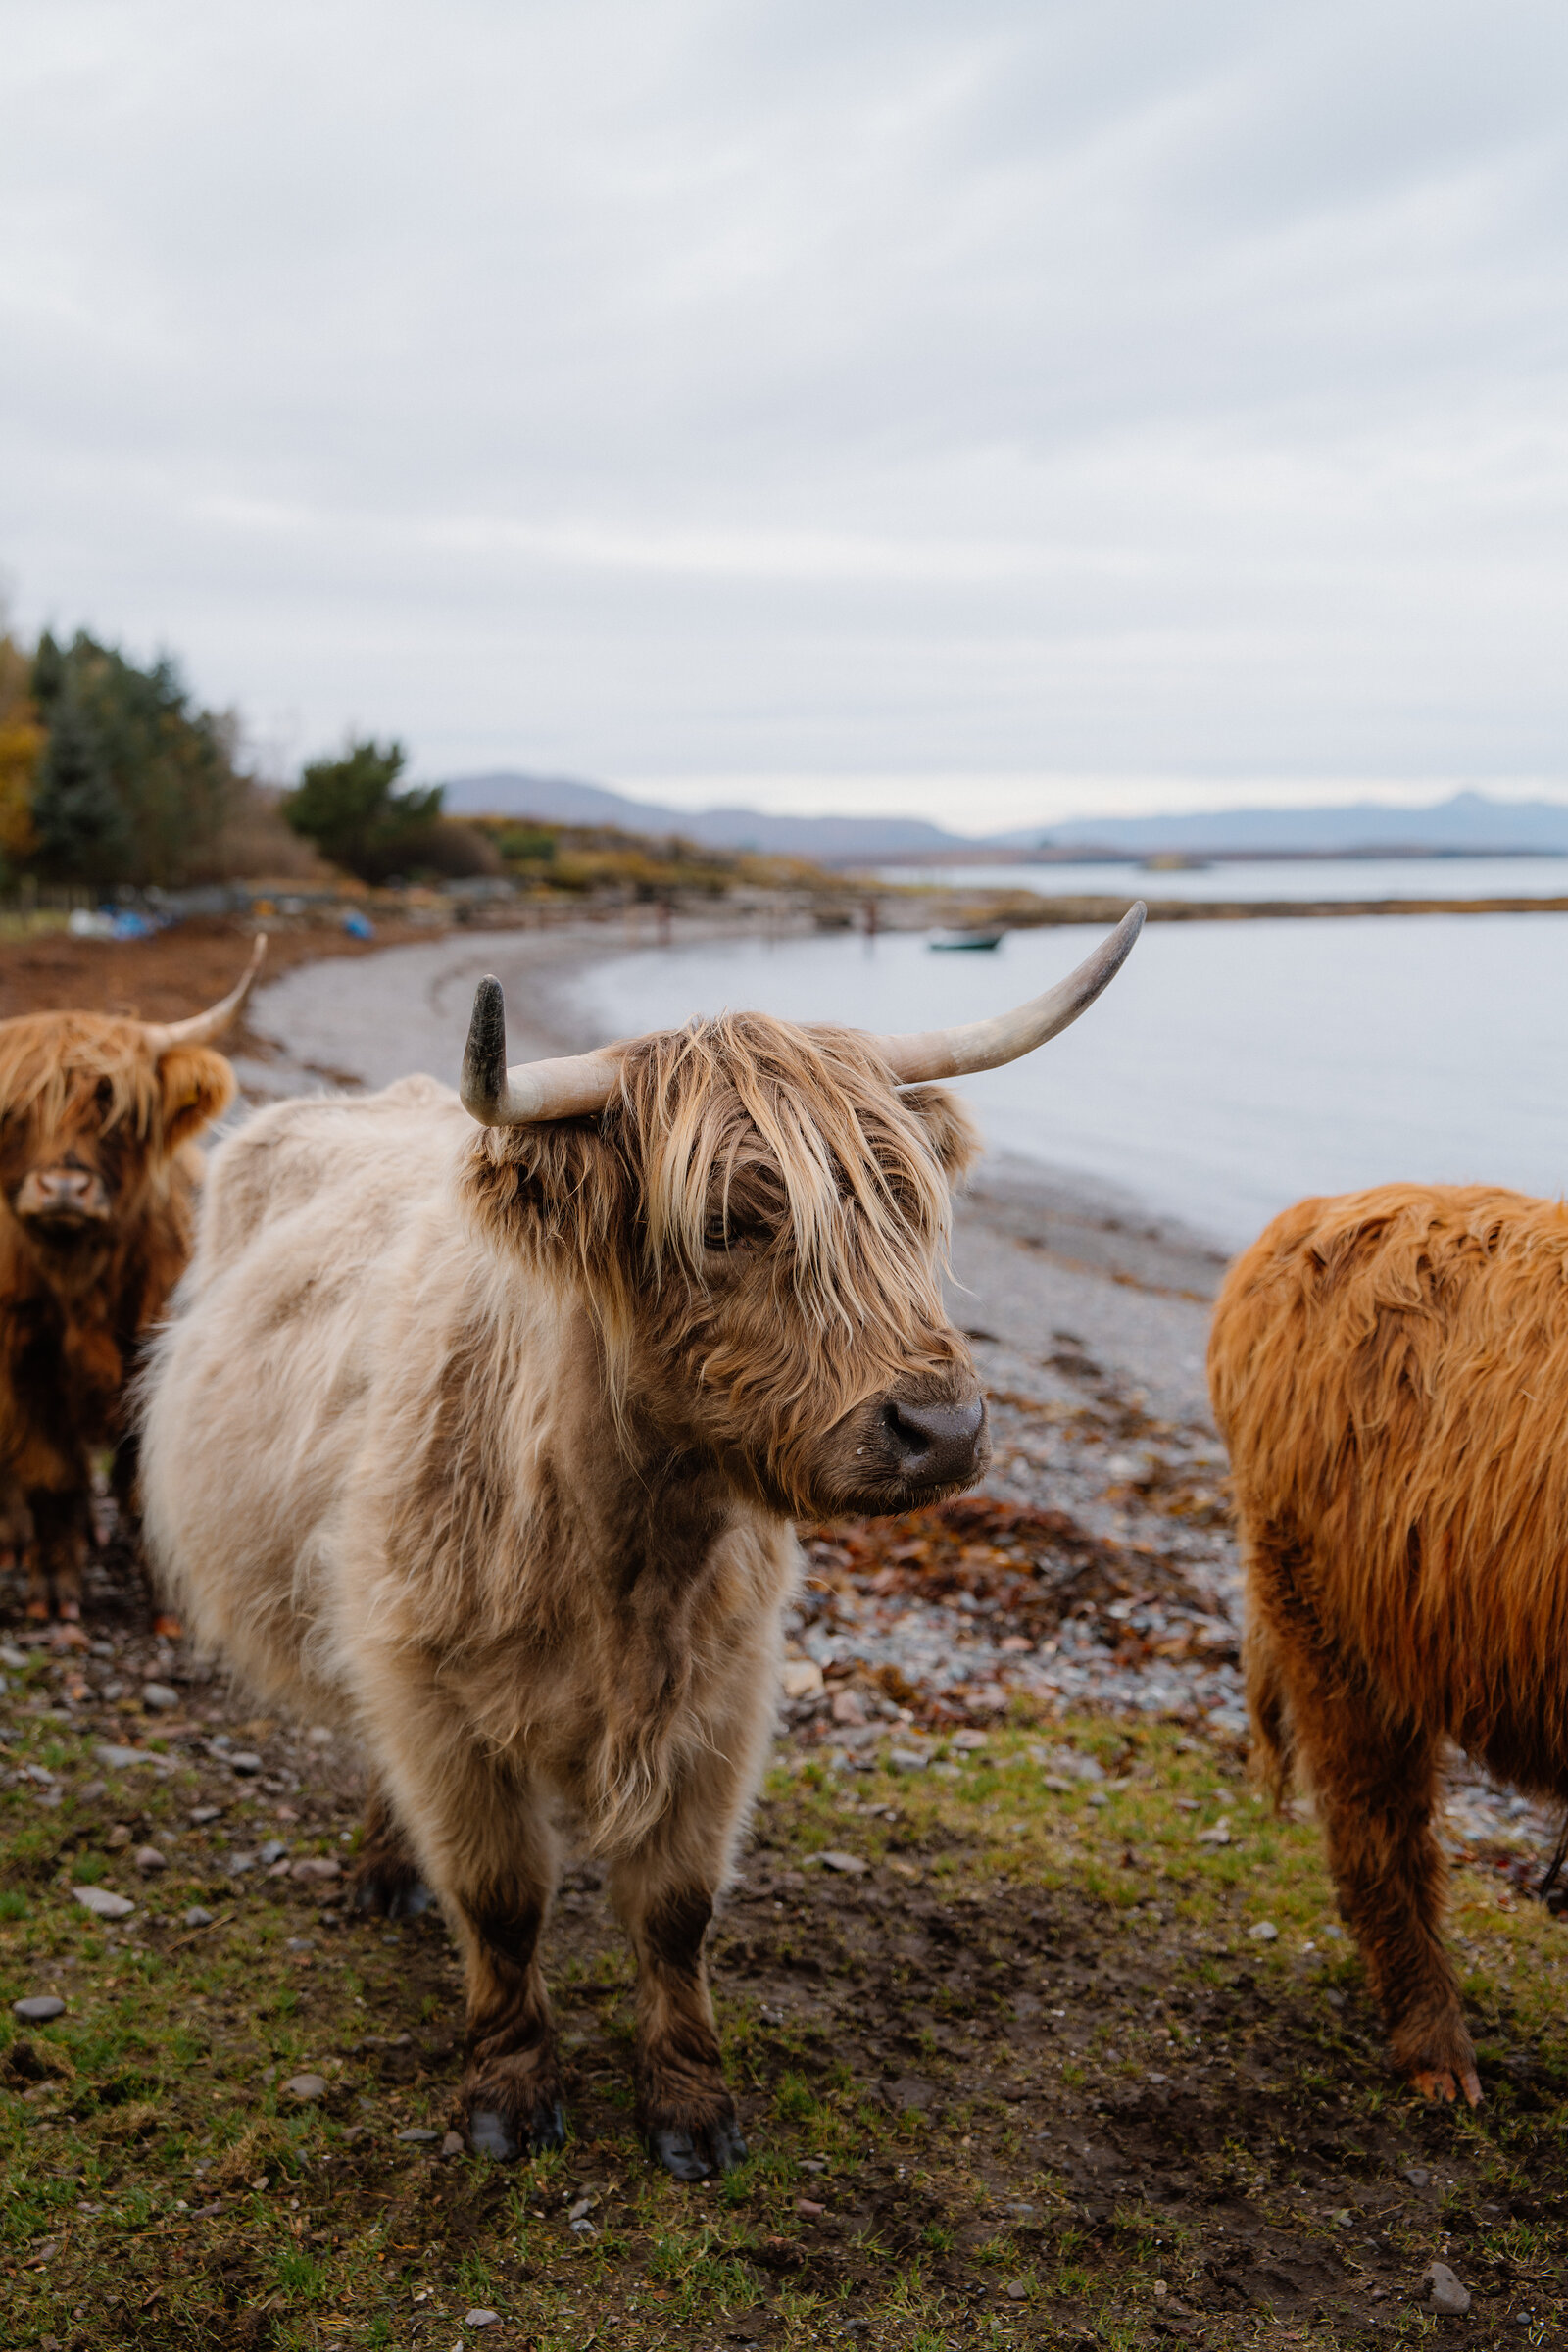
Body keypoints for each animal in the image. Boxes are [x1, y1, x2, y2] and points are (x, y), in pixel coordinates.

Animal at [0, 938, 264, 1629]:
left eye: (114, 1111)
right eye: (14, 1113)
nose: (64, 1188)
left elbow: (145, 1484)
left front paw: (171, 1605)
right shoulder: (22, 1365)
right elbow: (50, 1474)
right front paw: (55, 1592)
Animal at [139, 907, 1144, 2177]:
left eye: (906, 1201)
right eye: (722, 1222)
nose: (943, 1430)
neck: (629, 1542)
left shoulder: (723, 1696)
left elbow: (675, 1909)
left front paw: (688, 2108)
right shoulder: (431, 1687)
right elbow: (499, 1897)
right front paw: (510, 2093)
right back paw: (384, 1872)